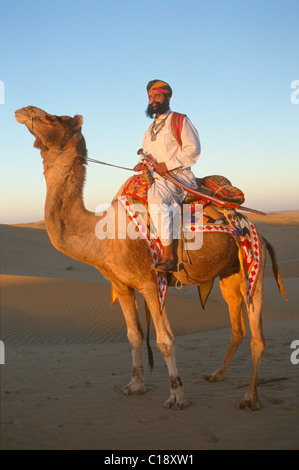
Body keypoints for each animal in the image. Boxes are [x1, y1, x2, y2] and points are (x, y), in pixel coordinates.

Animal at [14, 106, 288, 412]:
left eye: (53, 119)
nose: (24, 110)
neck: (101, 234)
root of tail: (258, 231)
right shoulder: (121, 285)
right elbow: (134, 336)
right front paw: (135, 386)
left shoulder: (150, 282)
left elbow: (165, 339)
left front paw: (178, 396)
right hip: (229, 273)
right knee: (237, 327)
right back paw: (216, 375)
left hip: (254, 266)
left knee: (257, 336)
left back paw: (250, 398)